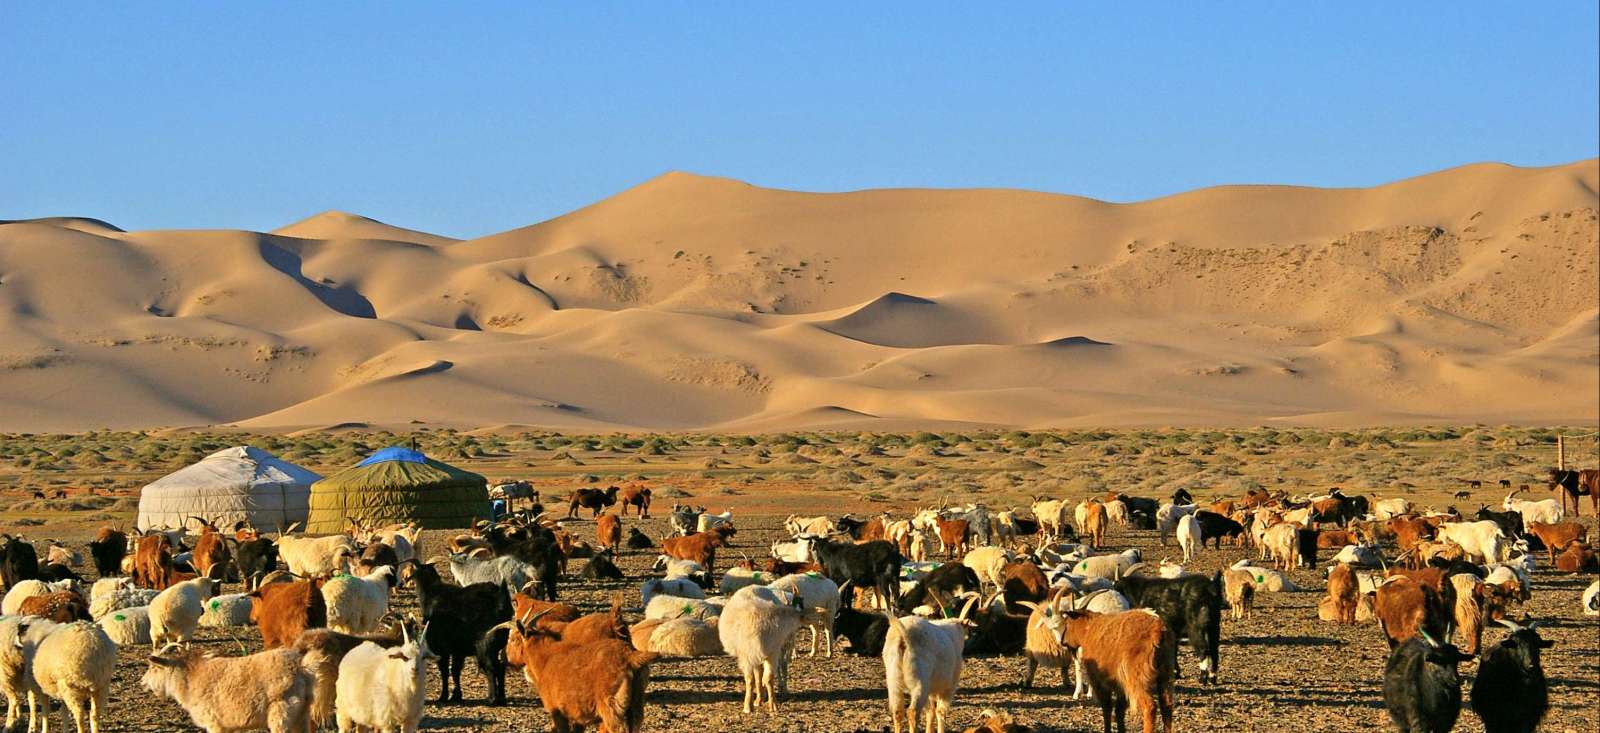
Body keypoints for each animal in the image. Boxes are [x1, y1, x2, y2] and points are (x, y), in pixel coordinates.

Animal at [141, 640, 315, 733]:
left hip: (282, 711)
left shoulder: (214, 723)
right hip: (301, 714)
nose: (142, 682)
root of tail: (301, 668)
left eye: (154, 668)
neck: (190, 679)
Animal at [720, 582, 806, 713]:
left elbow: (769, 678)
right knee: (758, 675)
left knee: (767, 673)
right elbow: (750, 680)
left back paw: (766, 696)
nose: (802, 618)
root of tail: (753, 586)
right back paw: (759, 699)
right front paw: (748, 706)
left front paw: (773, 705)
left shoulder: (772, 653)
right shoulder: (747, 656)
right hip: (755, 654)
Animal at [876, 592, 972, 733]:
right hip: (919, 681)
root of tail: (902, 634)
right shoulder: (948, 687)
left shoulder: (930, 690)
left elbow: (930, 711)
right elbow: (940, 712)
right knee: (912, 712)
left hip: (893, 679)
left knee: (898, 711)